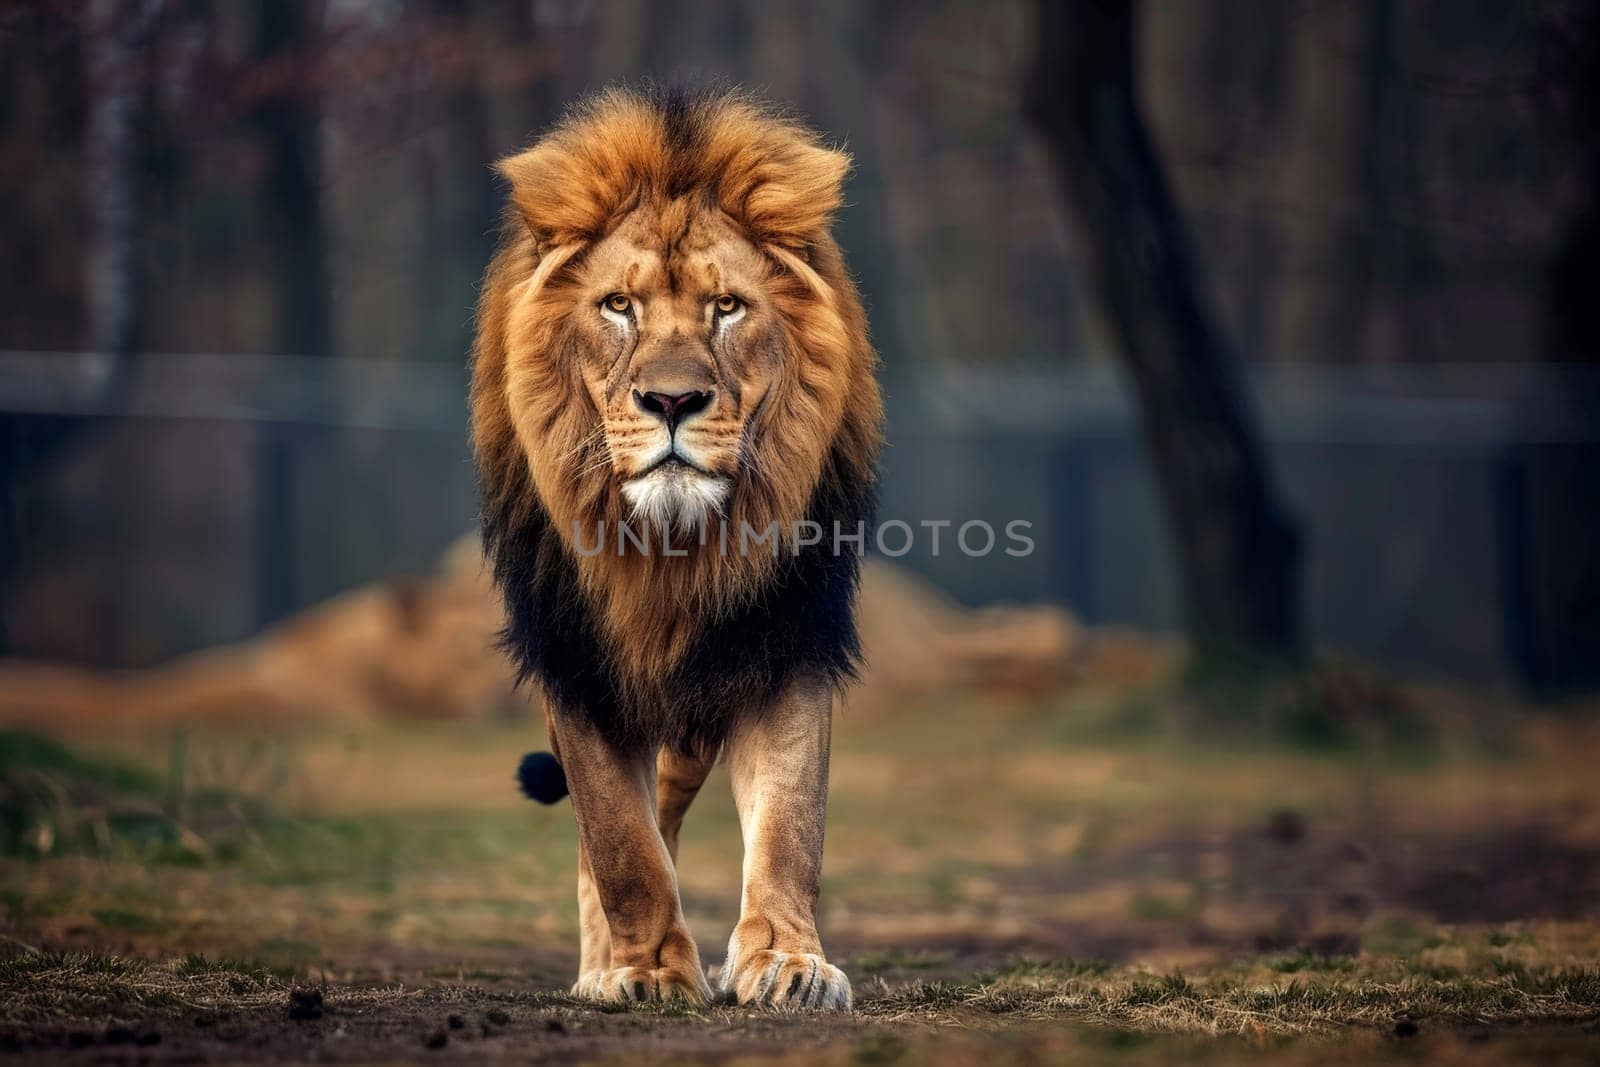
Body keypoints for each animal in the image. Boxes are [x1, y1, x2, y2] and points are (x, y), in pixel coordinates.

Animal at [467, 87, 883, 1017]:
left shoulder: (785, 636)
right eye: (618, 306)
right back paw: (603, 966)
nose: (670, 400)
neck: (670, 551)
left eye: (726, 308)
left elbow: (789, 822)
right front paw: (648, 971)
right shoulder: (576, 658)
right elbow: (619, 841)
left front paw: (787, 961)